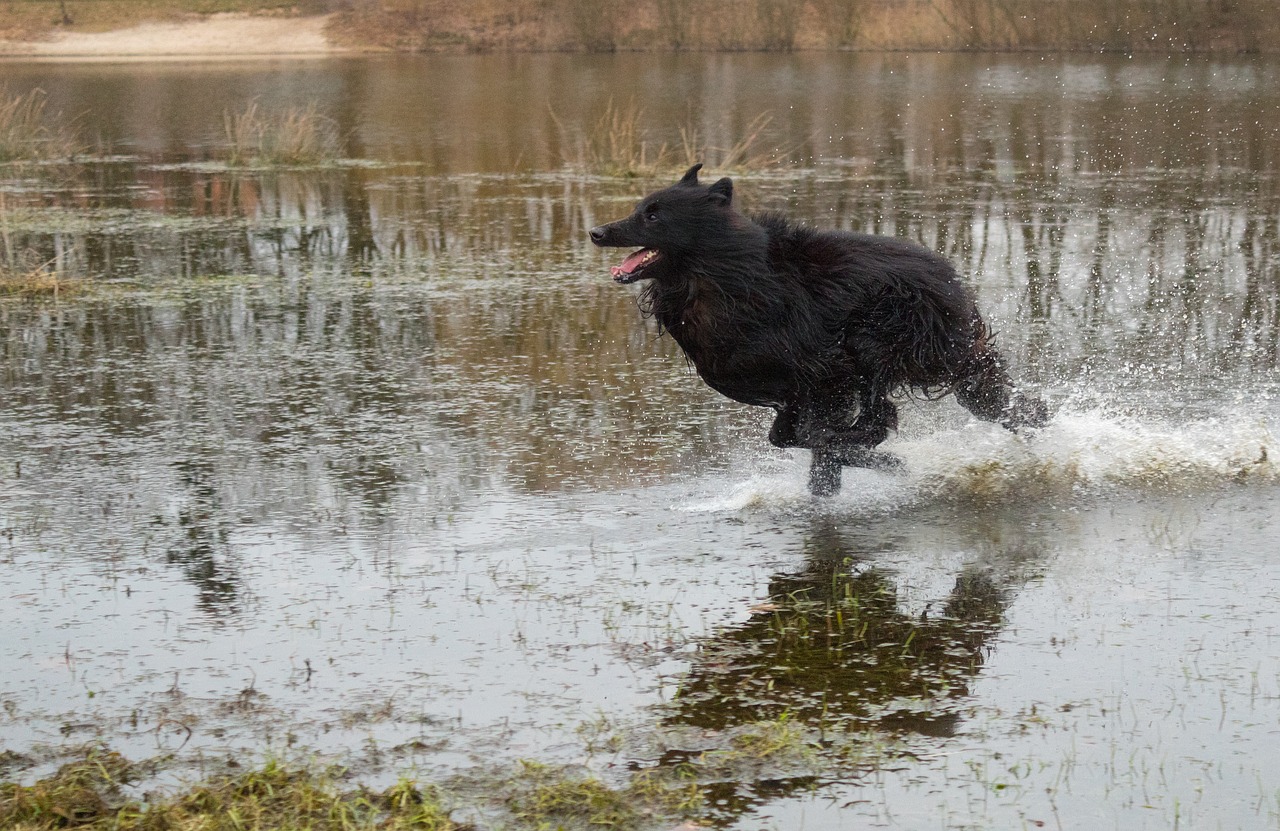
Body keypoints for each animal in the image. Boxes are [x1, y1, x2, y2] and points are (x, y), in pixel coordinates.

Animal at [588, 165, 1049, 496]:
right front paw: (845, 468)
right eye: (638, 209)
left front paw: (861, 460)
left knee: (882, 415)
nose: (596, 232)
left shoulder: (827, 372)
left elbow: (820, 435)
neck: (724, 275)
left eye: (653, 215)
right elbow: (790, 437)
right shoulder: (797, 393)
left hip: (876, 342)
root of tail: (950, 278)